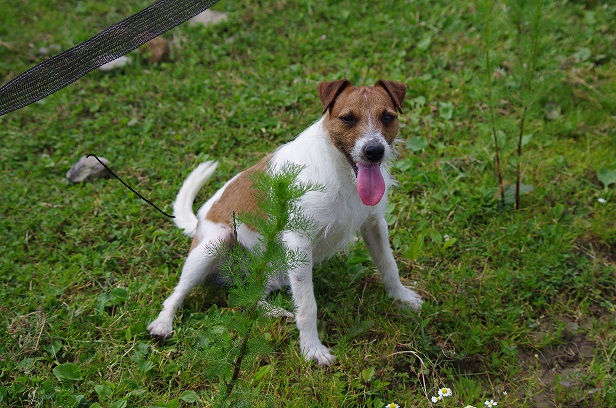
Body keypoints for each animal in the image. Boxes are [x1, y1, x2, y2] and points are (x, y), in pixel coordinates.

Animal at [148, 79, 424, 366]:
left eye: (387, 117)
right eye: (348, 118)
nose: (374, 151)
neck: (339, 171)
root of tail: (199, 220)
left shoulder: (374, 224)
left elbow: (388, 265)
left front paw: (402, 298)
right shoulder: (299, 242)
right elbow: (307, 305)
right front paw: (312, 349)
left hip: (272, 273)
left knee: (245, 296)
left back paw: (273, 311)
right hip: (214, 244)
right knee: (176, 295)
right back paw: (163, 324)